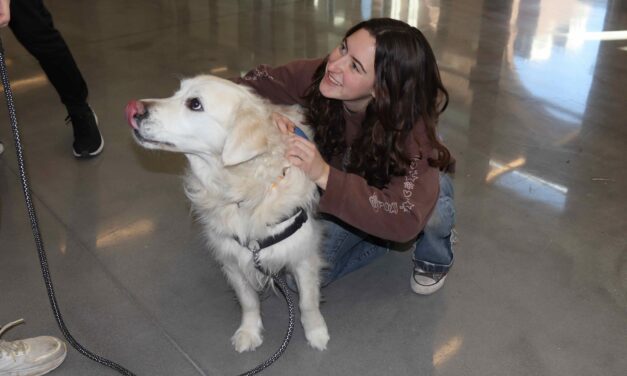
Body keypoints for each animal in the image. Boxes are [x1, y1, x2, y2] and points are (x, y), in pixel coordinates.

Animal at [122, 75, 328, 352]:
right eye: (177, 92)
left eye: (195, 104)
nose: (132, 109)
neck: (244, 192)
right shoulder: (232, 259)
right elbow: (248, 301)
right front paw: (249, 332)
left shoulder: (302, 254)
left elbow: (308, 302)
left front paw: (316, 332)